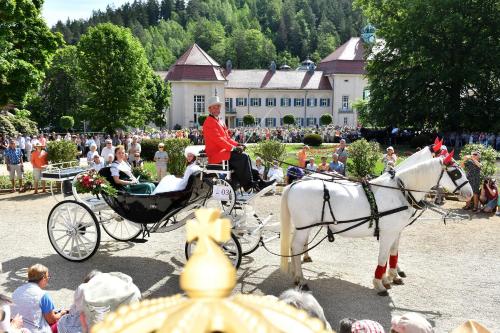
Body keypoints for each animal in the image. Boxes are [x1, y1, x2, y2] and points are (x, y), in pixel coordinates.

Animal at [282, 152, 472, 294]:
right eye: (456, 173)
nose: (470, 194)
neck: (399, 191)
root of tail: (294, 184)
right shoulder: (388, 233)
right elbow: (383, 257)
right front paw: (380, 284)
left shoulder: (396, 231)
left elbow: (393, 254)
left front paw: (392, 277)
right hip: (305, 226)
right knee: (296, 247)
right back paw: (301, 279)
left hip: (305, 227)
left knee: (296, 246)